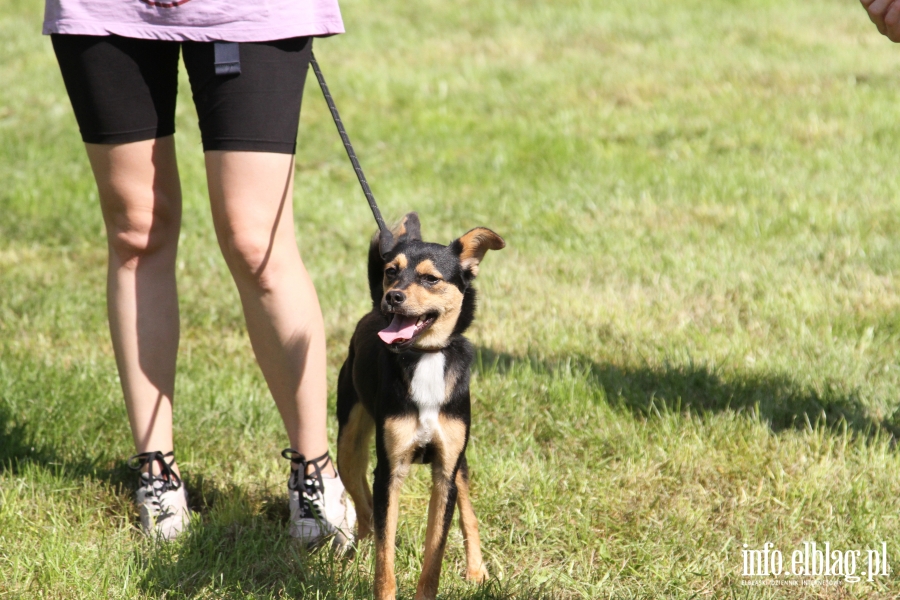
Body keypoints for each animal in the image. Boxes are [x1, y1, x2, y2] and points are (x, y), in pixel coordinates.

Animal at [338, 213, 506, 596]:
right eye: (391, 271)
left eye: (431, 278)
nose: (392, 297)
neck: (426, 356)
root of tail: (373, 310)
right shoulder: (389, 471)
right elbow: (385, 555)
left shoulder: (446, 470)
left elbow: (435, 554)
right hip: (347, 448)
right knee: (366, 512)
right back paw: (357, 557)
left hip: (460, 464)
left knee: (468, 513)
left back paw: (477, 570)